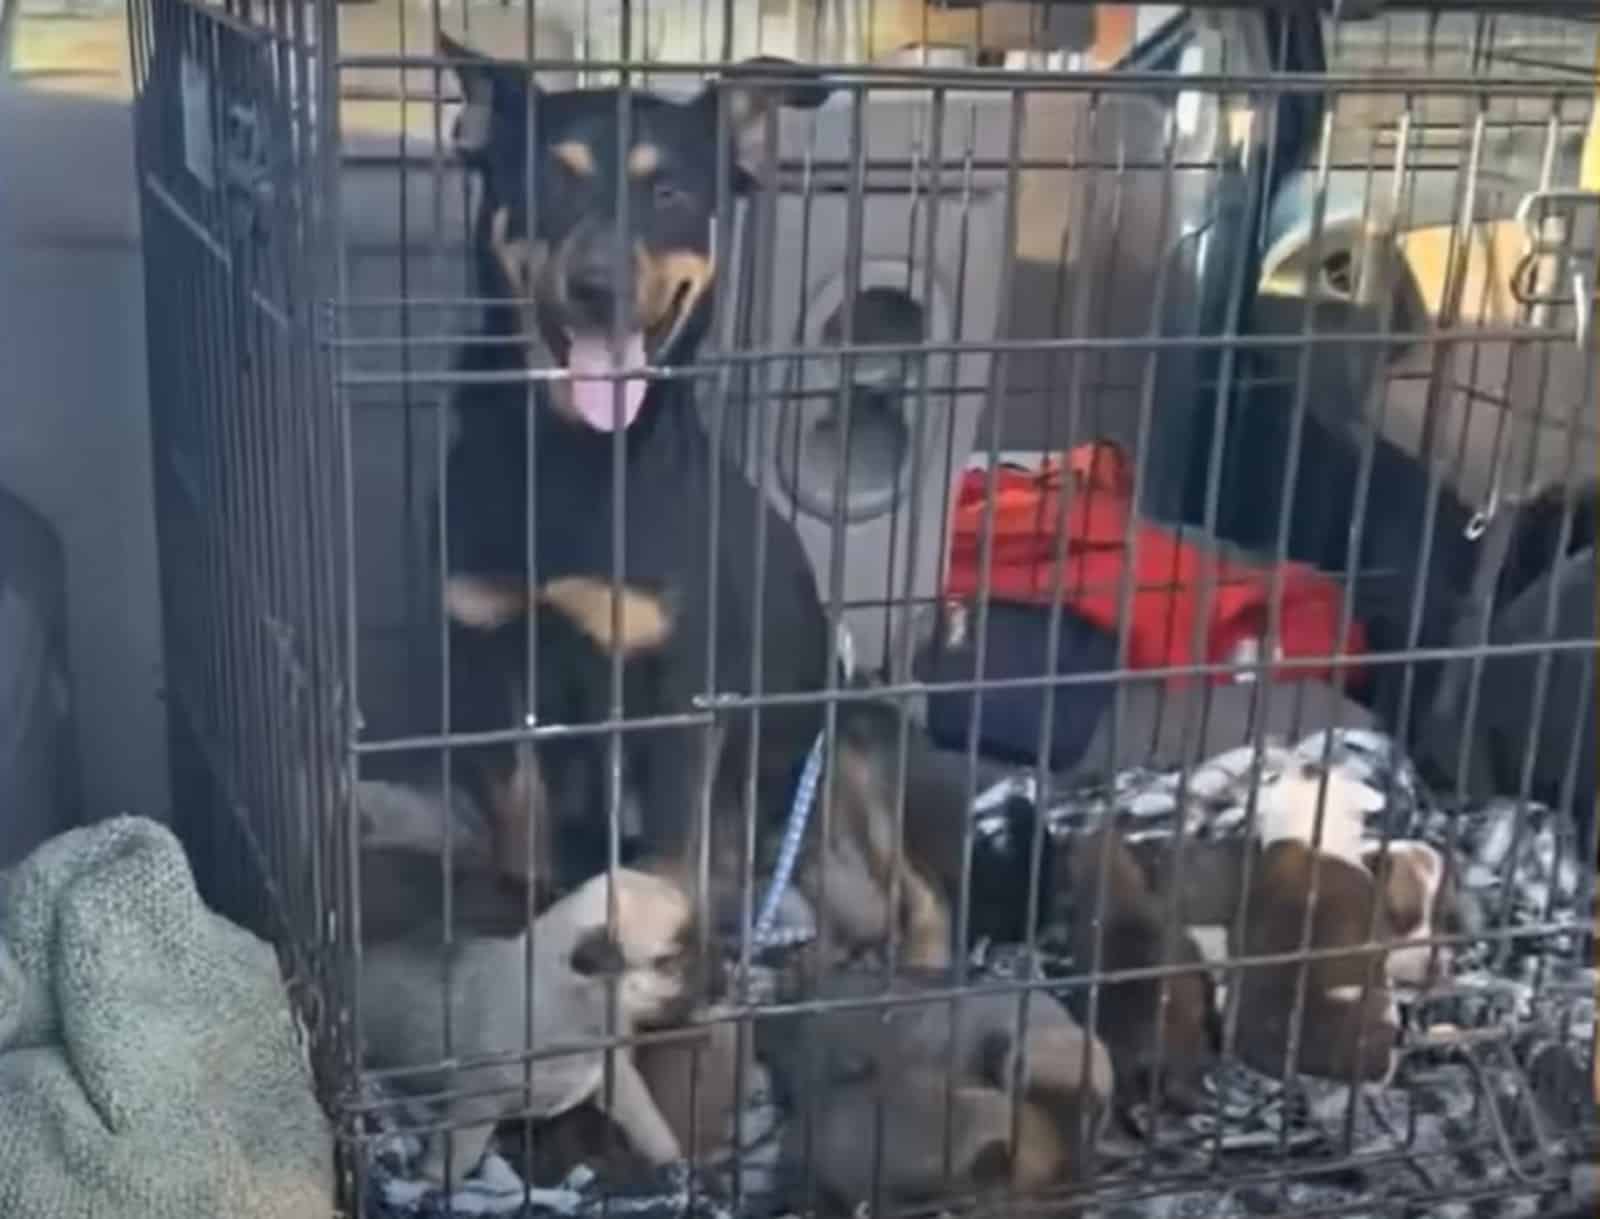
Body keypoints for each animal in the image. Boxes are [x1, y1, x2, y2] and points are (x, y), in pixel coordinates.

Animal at [363, 857, 700, 1183]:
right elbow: (460, 1152)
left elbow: (648, 1123)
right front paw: (435, 1181)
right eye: (667, 962)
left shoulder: (616, 1077)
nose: (713, 976)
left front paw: (670, 1159)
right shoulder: (478, 1101)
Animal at [435, 37, 960, 966]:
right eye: (549, 181)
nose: (599, 283)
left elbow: (666, 863)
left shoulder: (681, 691)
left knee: (922, 894)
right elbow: (521, 816)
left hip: (855, 737)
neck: (572, 454)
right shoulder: (493, 649)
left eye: (670, 193)